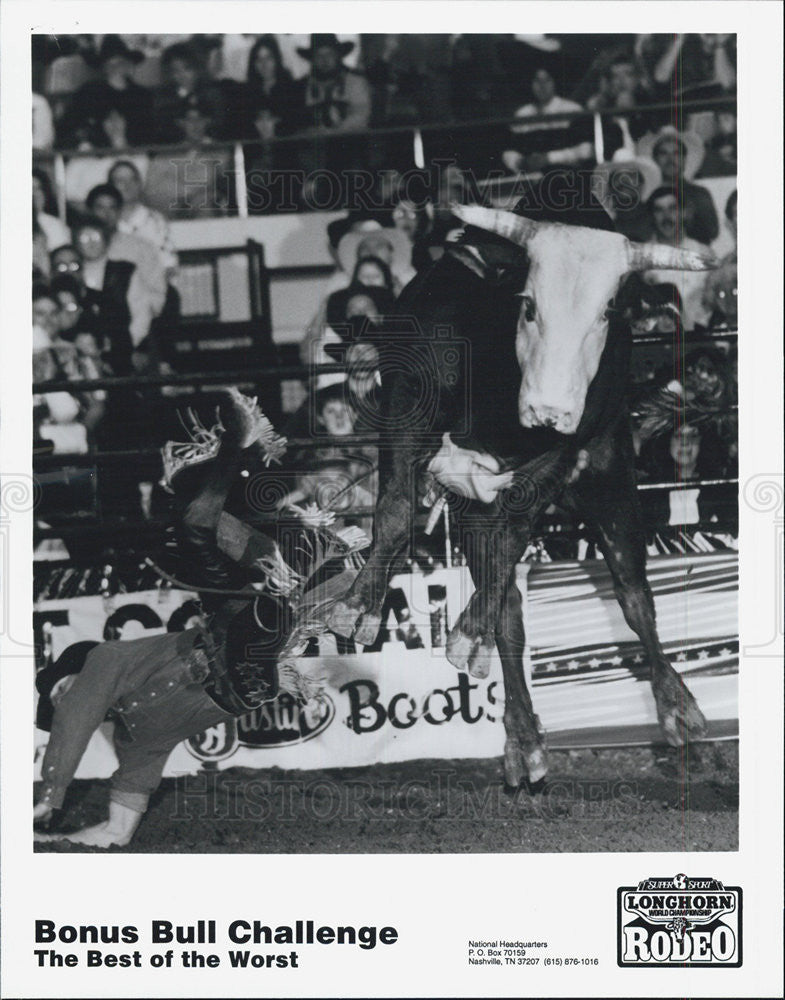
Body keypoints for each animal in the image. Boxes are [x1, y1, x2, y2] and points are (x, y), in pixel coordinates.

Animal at [320, 182, 716, 788]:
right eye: (527, 305)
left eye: (607, 312)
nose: (549, 409)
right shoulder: (409, 400)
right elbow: (395, 509)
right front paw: (360, 607)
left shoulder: (561, 455)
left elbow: (516, 551)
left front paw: (464, 633)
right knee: (508, 606)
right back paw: (523, 737)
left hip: (607, 482)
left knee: (630, 593)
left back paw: (678, 712)